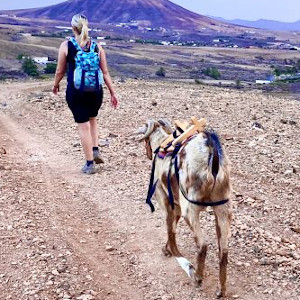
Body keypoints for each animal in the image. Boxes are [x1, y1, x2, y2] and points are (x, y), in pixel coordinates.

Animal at [137, 119, 233, 298]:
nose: (147, 152)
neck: (163, 145)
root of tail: (211, 152)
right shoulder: (177, 207)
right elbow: (172, 230)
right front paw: (167, 248)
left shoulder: (166, 201)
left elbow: (170, 230)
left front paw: (170, 251)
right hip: (223, 210)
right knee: (223, 251)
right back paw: (220, 289)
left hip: (191, 211)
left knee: (202, 246)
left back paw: (195, 275)